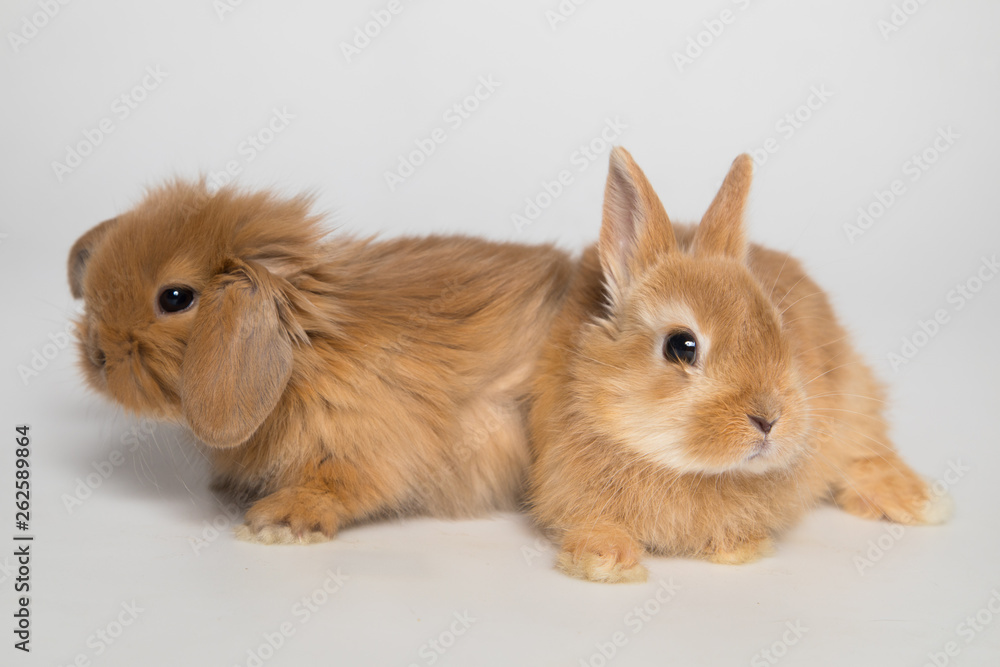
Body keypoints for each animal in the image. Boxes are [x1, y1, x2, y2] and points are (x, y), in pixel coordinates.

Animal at [67, 179, 573, 544]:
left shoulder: (362, 445)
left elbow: (337, 487)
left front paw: (277, 524)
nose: (96, 356)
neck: (308, 353)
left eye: (175, 298)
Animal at [527, 147, 952, 583]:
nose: (769, 419)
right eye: (681, 346)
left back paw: (920, 502)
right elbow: (592, 521)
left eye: (779, 330)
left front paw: (738, 547)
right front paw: (606, 561)